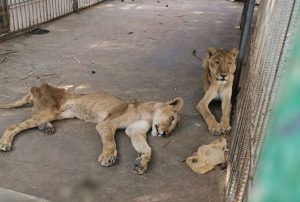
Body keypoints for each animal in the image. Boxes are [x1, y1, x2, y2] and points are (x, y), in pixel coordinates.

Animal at [0, 83, 183, 174]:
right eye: (172, 118)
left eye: (173, 128)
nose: (165, 134)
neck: (149, 114)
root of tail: (36, 87)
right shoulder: (106, 124)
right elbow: (110, 141)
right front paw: (108, 157)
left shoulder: (134, 131)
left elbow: (147, 150)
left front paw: (141, 164)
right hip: (50, 109)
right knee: (14, 125)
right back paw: (5, 143)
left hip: (60, 114)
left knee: (33, 116)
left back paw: (46, 127)